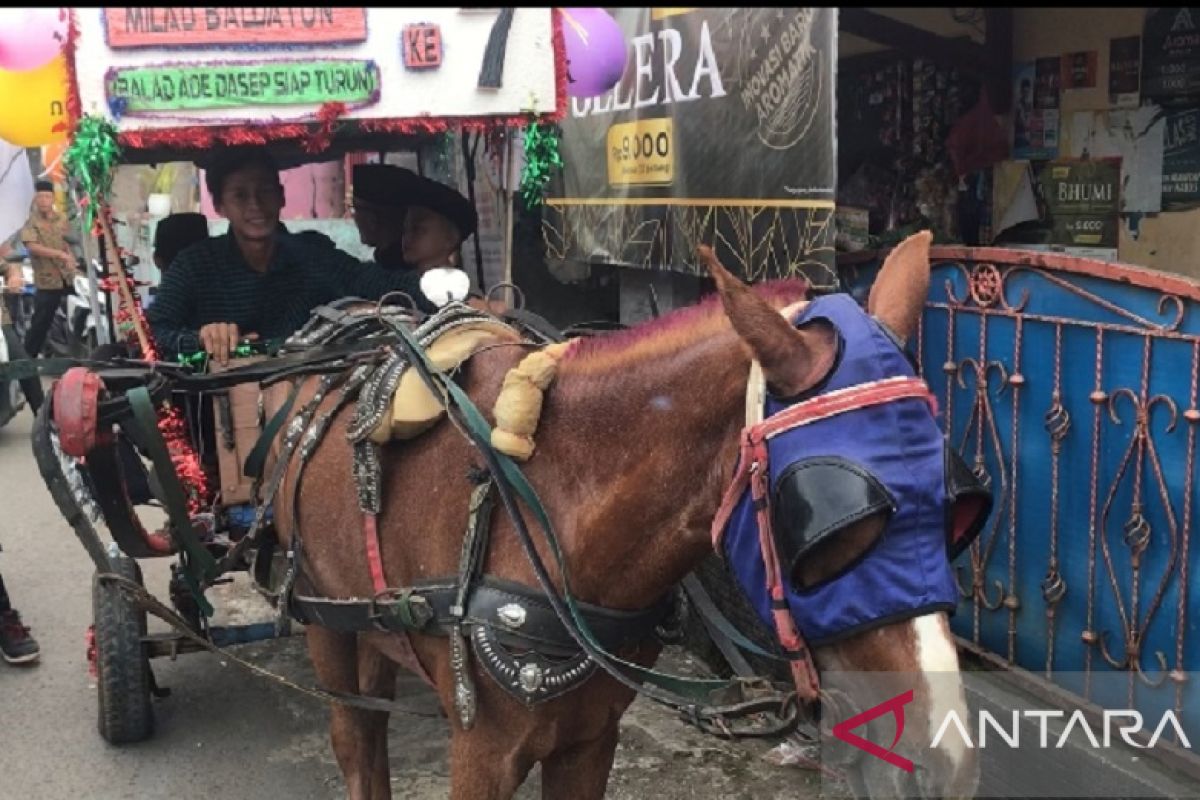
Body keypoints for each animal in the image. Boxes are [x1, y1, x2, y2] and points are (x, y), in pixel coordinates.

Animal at [274, 231, 984, 800]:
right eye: (827, 533)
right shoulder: (482, 752)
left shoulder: (591, 741)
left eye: (960, 514)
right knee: (358, 740)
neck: (555, 517)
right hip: (321, 616)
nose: (944, 765)